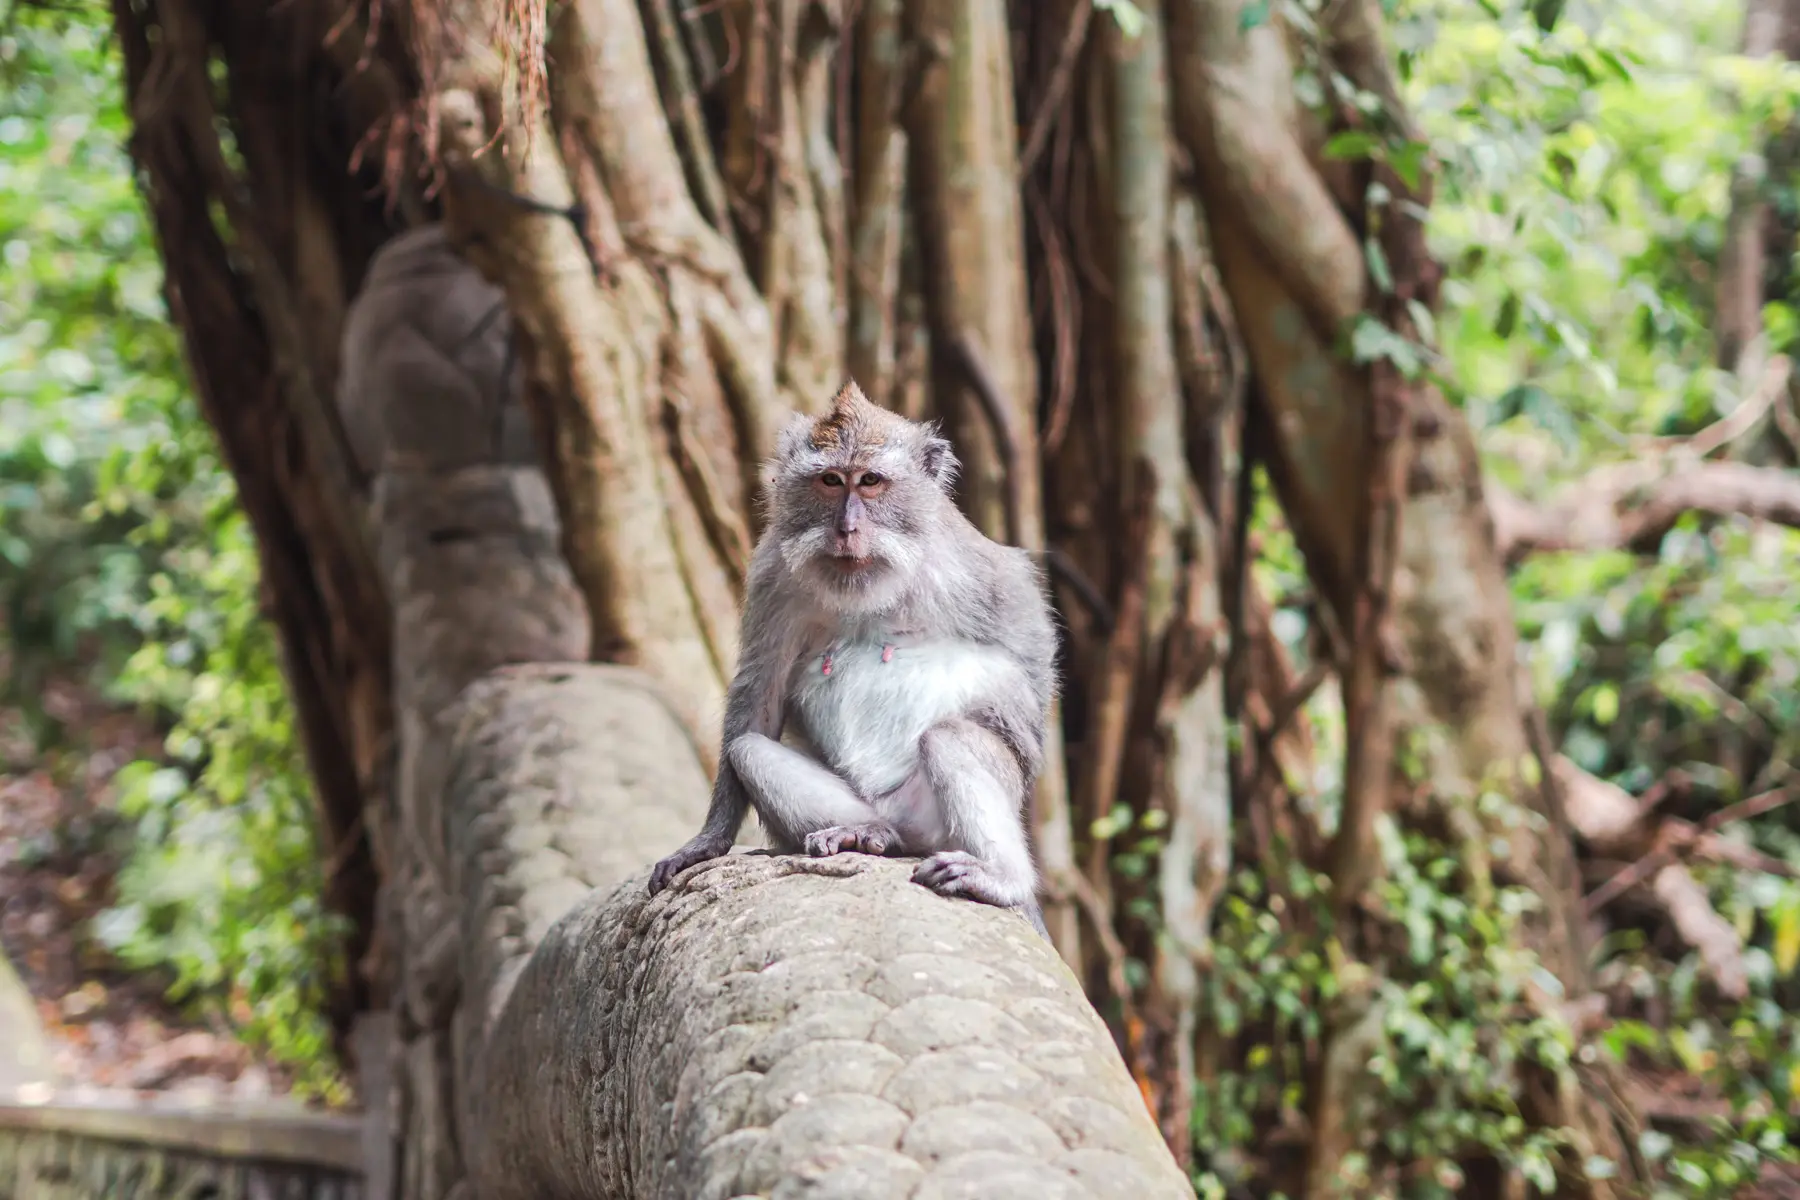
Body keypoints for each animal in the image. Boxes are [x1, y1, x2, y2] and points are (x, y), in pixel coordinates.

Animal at [646, 381, 1058, 938]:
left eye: (870, 482)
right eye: (830, 481)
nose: (846, 528)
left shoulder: (968, 564)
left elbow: (1027, 655)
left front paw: (1022, 740)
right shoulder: (772, 573)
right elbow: (759, 694)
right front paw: (708, 840)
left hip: (936, 822)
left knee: (952, 737)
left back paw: (1001, 877)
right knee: (749, 751)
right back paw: (868, 834)